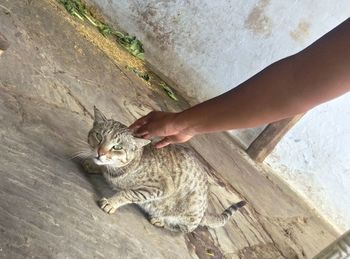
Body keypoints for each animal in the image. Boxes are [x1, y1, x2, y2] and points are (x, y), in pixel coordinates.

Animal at [82, 107, 246, 234]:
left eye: (117, 147)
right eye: (99, 136)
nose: (100, 152)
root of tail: (204, 212)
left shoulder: (160, 187)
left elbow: (128, 193)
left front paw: (112, 202)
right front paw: (95, 166)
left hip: (188, 213)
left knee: (184, 229)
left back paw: (160, 220)